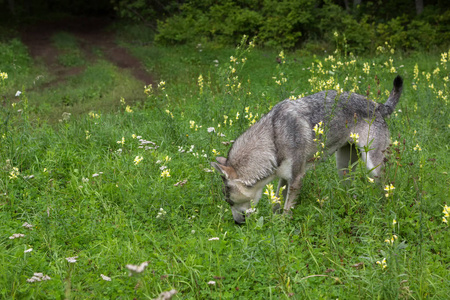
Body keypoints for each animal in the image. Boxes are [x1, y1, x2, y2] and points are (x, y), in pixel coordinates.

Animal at [212, 76, 404, 224]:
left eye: (230, 201)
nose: (237, 223)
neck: (274, 138)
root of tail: (377, 105)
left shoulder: (296, 178)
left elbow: (286, 210)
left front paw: (282, 228)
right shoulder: (284, 178)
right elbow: (276, 202)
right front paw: (274, 222)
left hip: (374, 169)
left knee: (386, 190)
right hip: (343, 169)